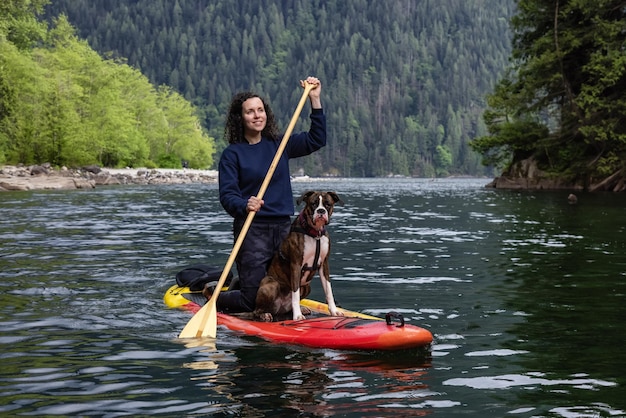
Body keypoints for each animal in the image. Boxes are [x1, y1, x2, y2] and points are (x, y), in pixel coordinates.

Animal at [251, 191, 344, 322]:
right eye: (313, 204)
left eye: (328, 204)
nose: (321, 211)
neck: (314, 234)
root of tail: (279, 308)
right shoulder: (296, 265)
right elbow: (295, 292)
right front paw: (297, 316)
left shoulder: (324, 264)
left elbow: (328, 290)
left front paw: (334, 311)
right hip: (271, 285)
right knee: (257, 310)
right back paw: (264, 314)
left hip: (307, 287)